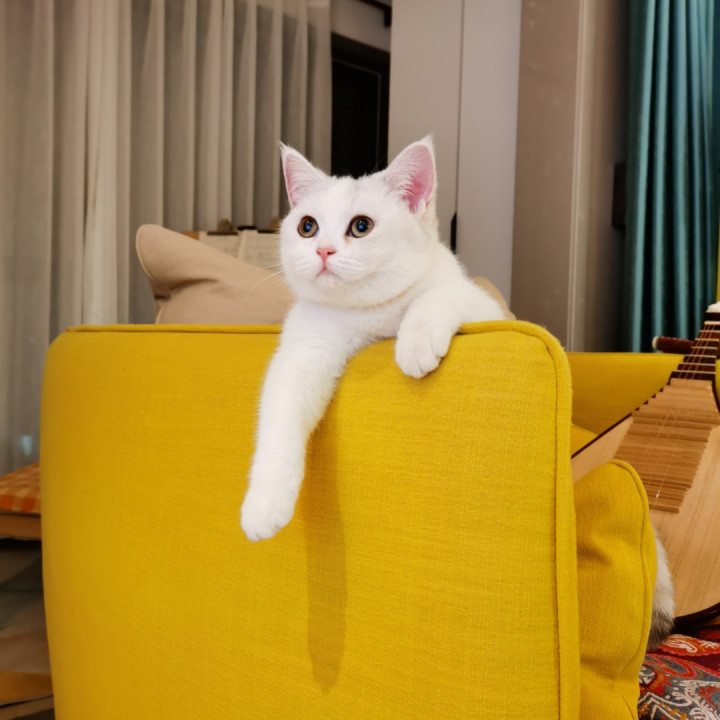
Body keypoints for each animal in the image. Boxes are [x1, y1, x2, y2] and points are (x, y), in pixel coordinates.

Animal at [240, 137, 506, 542]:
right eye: (307, 227)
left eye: (361, 226)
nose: (323, 250)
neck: (369, 314)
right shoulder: (303, 351)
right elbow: (279, 417)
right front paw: (263, 504)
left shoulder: (486, 307)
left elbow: (439, 294)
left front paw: (415, 342)